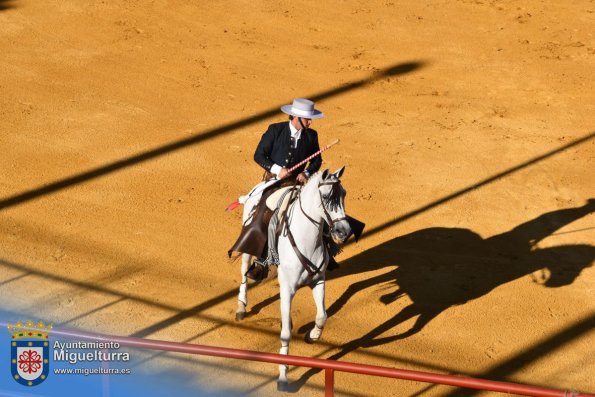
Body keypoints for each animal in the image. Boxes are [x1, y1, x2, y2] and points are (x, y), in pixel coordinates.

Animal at [235, 166, 352, 390]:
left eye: (344, 195)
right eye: (326, 197)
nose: (344, 231)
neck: (307, 239)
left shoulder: (318, 280)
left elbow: (322, 315)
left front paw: (312, 336)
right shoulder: (288, 287)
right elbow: (285, 334)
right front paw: (283, 377)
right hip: (247, 245)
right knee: (244, 270)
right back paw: (241, 307)